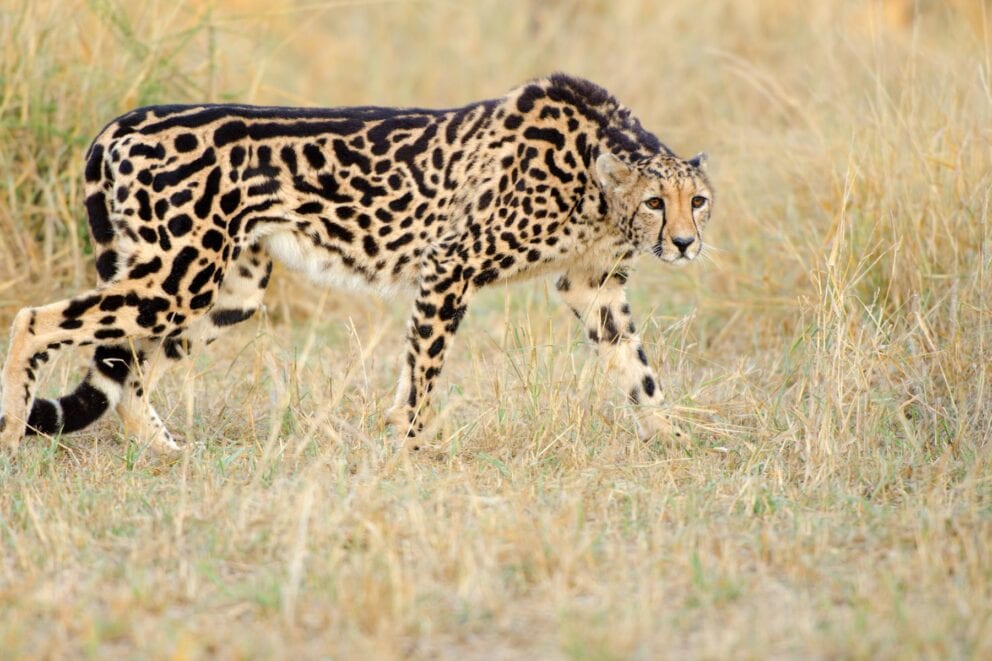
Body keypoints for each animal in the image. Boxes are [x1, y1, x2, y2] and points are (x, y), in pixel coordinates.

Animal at [0, 73, 713, 454]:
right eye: (656, 202)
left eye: (698, 201)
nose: (684, 243)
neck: (594, 172)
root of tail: (125, 119)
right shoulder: (448, 265)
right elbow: (422, 374)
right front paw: (414, 450)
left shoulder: (594, 287)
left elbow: (640, 373)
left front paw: (681, 443)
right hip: (177, 275)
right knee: (35, 319)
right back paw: (10, 433)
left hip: (229, 291)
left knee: (129, 375)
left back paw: (168, 454)